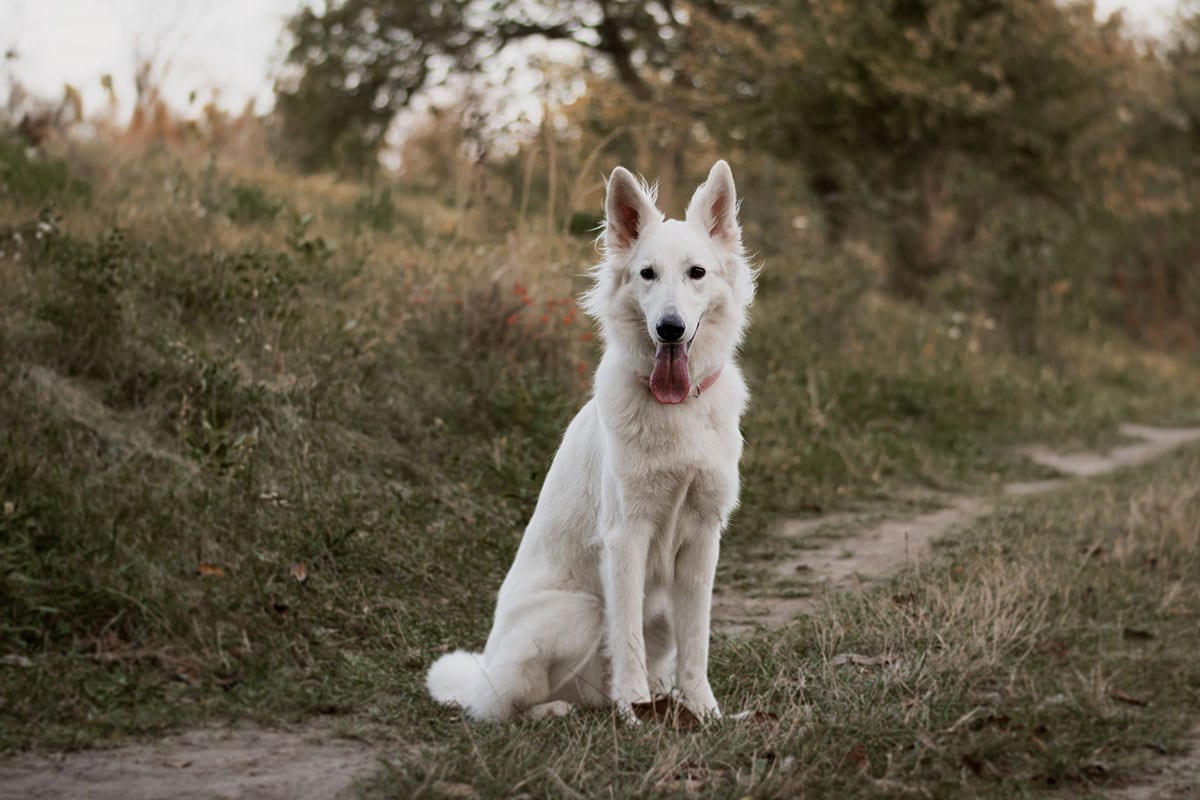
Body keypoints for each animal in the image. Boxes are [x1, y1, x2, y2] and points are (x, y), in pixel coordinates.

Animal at [427, 159, 753, 724]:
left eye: (697, 273)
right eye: (647, 274)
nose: (669, 329)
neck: (675, 408)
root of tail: (482, 673)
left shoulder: (703, 539)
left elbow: (698, 642)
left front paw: (703, 710)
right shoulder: (626, 536)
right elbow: (626, 641)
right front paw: (636, 711)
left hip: (657, 613)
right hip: (580, 610)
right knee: (500, 705)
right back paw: (567, 709)